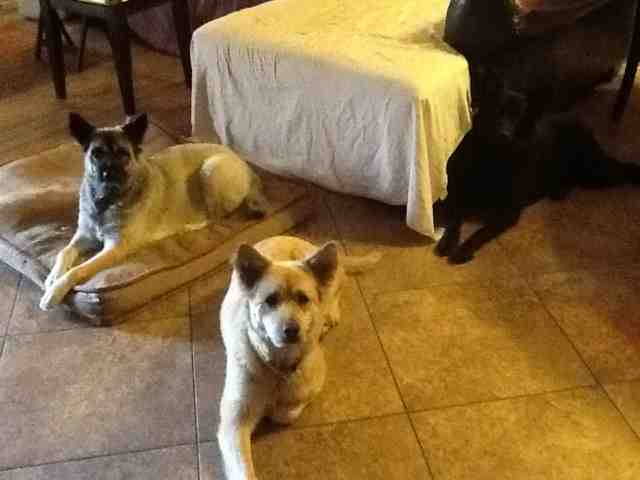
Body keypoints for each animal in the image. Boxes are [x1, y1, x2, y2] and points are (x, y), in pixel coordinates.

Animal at [39, 112, 269, 311]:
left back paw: (189, 226)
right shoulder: (84, 235)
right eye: (97, 153)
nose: (108, 172)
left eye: (123, 154)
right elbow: (64, 251)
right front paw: (52, 277)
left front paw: (54, 292)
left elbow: (78, 270)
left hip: (211, 171)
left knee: (217, 217)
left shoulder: (115, 247)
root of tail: (246, 166)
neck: (107, 199)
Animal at [217, 236, 380, 480]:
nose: (291, 330)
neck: (277, 366)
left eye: (303, 299)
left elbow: (288, 411)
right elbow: (242, 468)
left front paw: (276, 409)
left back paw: (329, 315)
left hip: (330, 281)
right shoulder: (233, 419)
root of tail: (288, 237)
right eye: (270, 300)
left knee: (337, 290)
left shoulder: (314, 381)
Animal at [434, 70, 640, 264]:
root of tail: (584, 125)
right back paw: (560, 190)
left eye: (518, 117)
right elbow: (454, 219)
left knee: (621, 171)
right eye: (497, 111)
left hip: (595, 173)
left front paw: (464, 249)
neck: (495, 156)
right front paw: (447, 242)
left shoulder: (508, 212)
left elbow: (481, 232)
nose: (503, 135)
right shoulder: (461, 196)